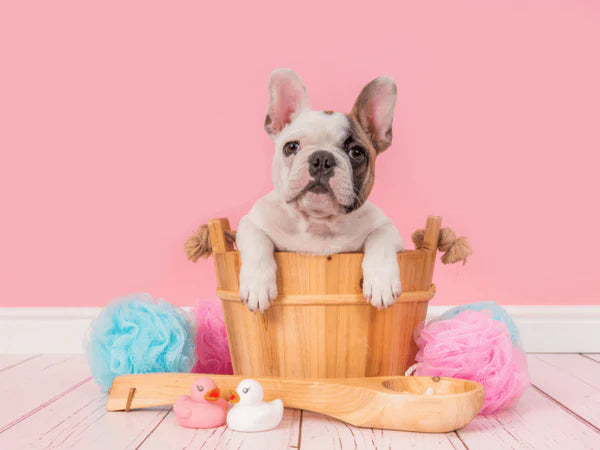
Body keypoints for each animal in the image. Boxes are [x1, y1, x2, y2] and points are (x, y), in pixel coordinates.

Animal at [236, 68, 404, 312]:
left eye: (356, 152)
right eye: (291, 147)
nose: (322, 158)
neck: (318, 223)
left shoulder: (388, 227)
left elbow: (380, 239)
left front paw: (382, 282)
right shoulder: (251, 221)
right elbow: (257, 242)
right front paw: (257, 285)